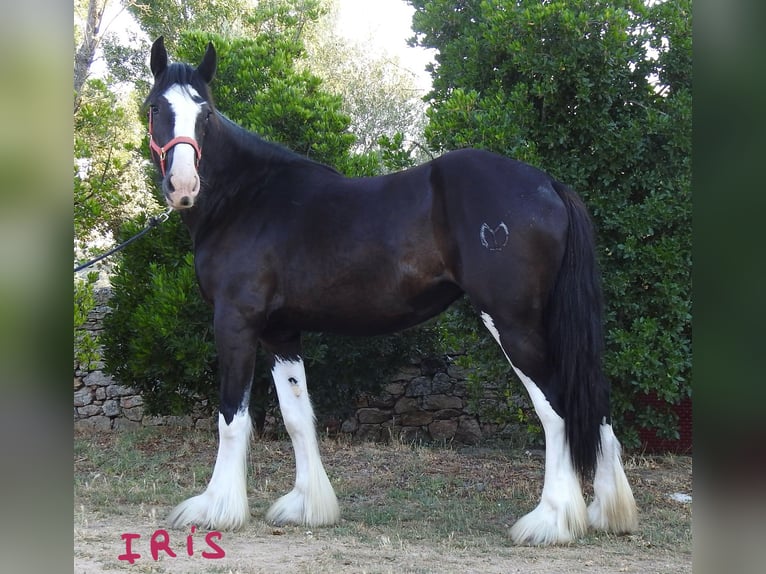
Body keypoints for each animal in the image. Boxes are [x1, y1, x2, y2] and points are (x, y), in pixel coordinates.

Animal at [147, 38, 640, 548]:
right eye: (156, 108)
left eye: (205, 113)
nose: (183, 187)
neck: (247, 198)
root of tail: (547, 184)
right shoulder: (280, 333)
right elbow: (297, 415)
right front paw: (307, 505)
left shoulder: (236, 322)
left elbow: (231, 418)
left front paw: (215, 509)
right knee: (594, 405)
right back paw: (608, 512)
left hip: (513, 322)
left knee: (557, 409)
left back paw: (552, 520)